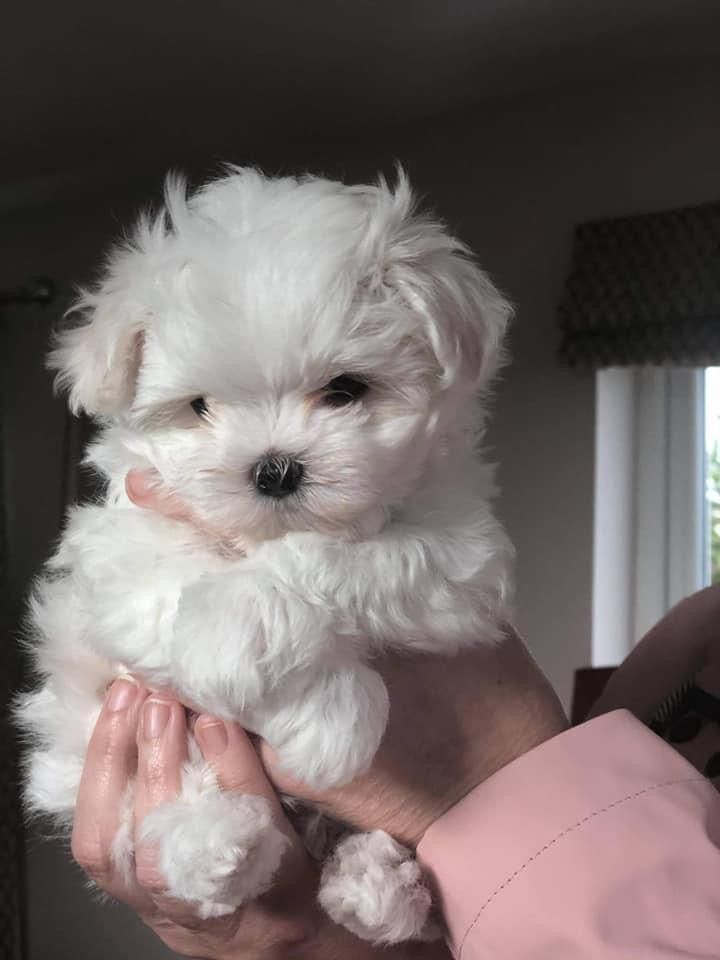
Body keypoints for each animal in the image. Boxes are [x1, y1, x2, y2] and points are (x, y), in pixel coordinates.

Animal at [15, 167, 512, 944]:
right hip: (80, 744)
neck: (258, 539)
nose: (274, 469)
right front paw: (252, 653)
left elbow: (355, 559)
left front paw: (283, 660)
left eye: (346, 390)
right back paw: (219, 844)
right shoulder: (117, 548)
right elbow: (166, 582)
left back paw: (377, 886)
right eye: (198, 408)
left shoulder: (461, 553)